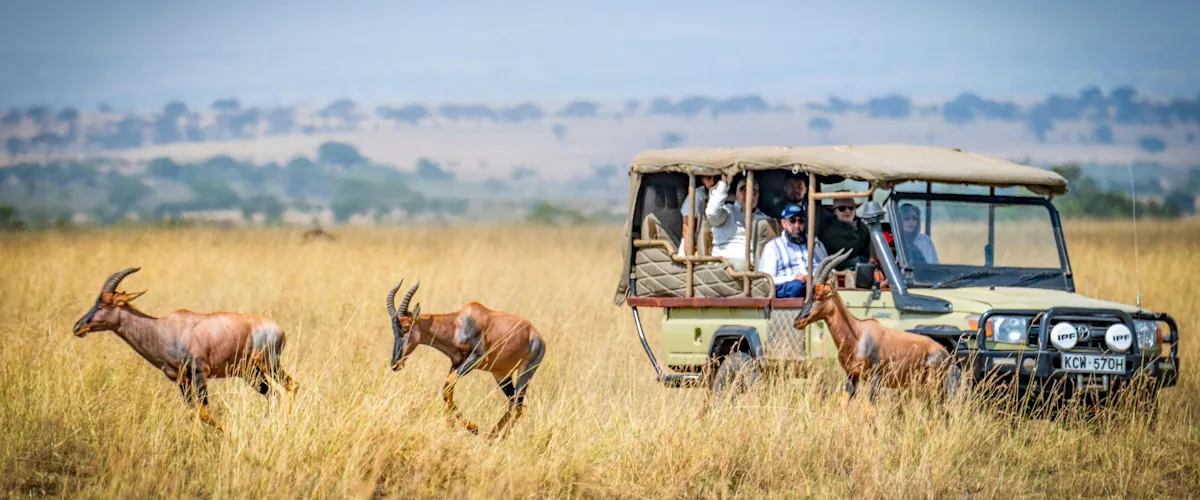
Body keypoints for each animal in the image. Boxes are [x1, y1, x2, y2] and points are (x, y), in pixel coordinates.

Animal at [71, 267, 299, 430]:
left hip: (269, 364)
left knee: (291, 386)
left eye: (104, 303)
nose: (78, 327)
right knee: (273, 394)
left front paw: (226, 433)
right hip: (250, 373)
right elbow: (193, 413)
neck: (164, 328)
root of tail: (279, 330)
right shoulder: (181, 379)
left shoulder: (199, 373)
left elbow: (204, 412)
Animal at [385, 278, 546, 441]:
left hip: (526, 371)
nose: (395, 364)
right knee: (512, 403)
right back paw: (490, 437)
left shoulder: (475, 358)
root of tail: (537, 335)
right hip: (501, 375)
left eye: (406, 327)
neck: (460, 324)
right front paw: (456, 426)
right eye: (394, 329)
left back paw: (500, 440)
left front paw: (470, 427)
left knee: (518, 406)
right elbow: (447, 388)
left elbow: (448, 385)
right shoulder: (456, 362)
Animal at [794, 249, 962, 408]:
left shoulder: (876, 378)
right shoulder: (852, 376)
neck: (858, 333)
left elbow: (868, 409)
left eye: (821, 295)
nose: (798, 321)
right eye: (810, 294)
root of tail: (945, 353)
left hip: (934, 384)